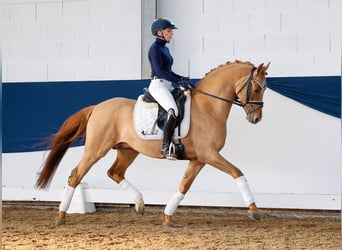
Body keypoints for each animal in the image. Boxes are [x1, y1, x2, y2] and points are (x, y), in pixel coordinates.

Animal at [34, 60, 270, 227]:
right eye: (257, 89)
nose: (256, 119)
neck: (209, 107)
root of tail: (97, 107)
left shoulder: (199, 159)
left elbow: (184, 185)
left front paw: (167, 217)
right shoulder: (209, 155)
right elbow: (237, 173)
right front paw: (254, 210)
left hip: (127, 150)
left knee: (115, 172)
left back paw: (139, 204)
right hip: (95, 150)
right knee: (76, 175)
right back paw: (61, 216)